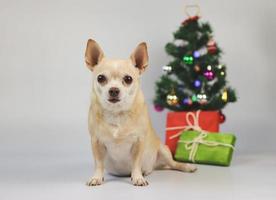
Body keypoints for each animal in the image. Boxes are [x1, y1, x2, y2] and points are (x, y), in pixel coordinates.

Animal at [84, 39, 196, 186]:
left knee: (173, 164)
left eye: (128, 79)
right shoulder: (96, 142)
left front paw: (137, 177)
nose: (114, 90)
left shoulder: (139, 142)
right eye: (101, 78)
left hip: (163, 150)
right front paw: (97, 177)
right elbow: (99, 163)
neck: (117, 113)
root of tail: (155, 166)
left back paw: (186, 166)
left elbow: (136, 163)